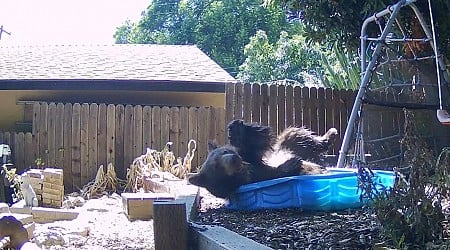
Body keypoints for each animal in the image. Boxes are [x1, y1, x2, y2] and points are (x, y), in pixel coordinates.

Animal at [187, 119, 338, 197]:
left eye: (225, 151)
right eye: (217, 167)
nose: (235, 159)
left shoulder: (252, 158)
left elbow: (252, 144)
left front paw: (237, 131)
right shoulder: (257, 176)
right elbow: (276, 172)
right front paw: (291, 164)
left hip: (290, 144)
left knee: (296, 135)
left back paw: (330, 134)